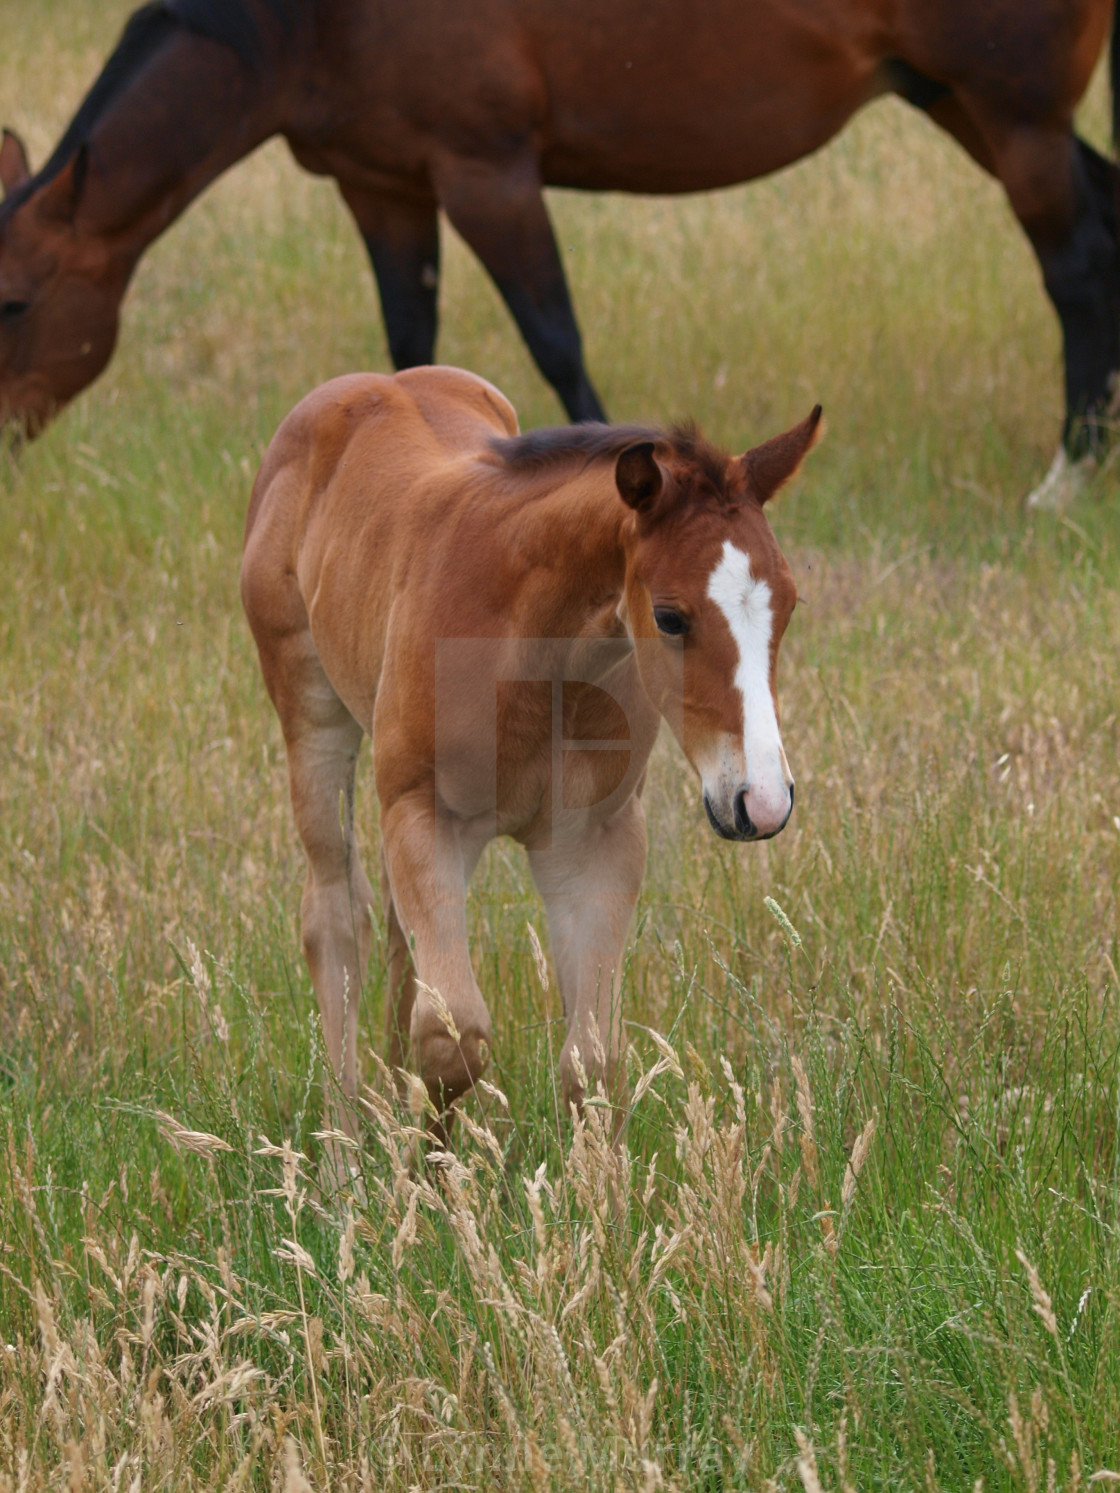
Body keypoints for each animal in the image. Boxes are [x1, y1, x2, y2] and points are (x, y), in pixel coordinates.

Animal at [0, 0, 1111, 501]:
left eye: (12, 303)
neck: (303, 23)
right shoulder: (385, 187)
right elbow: (409, 345)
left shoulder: (488, 172)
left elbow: (555, 340)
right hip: (962, 104)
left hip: (1016, 120)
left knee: (1077, 265)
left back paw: (1068, 472)